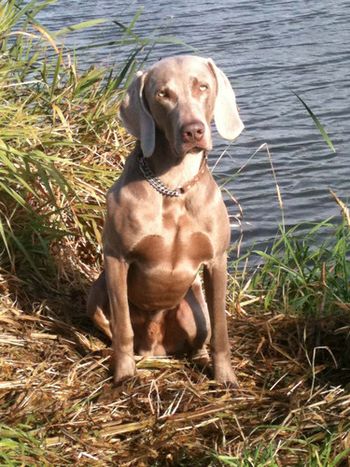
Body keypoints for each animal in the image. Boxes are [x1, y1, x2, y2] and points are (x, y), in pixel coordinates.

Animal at [88, 54, 243, 386]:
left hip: (196, 306)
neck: (173, 186)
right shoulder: (116, 258)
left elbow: (222, 331)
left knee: (202, 336)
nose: (193, 131)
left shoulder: (217, 260)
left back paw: (199, 357)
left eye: (202, 86)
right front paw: (124, 374)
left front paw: (225, 376)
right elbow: (122, 327)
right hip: (96, 292)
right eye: (163, 94)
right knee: (114, 328)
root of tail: (156, 347)